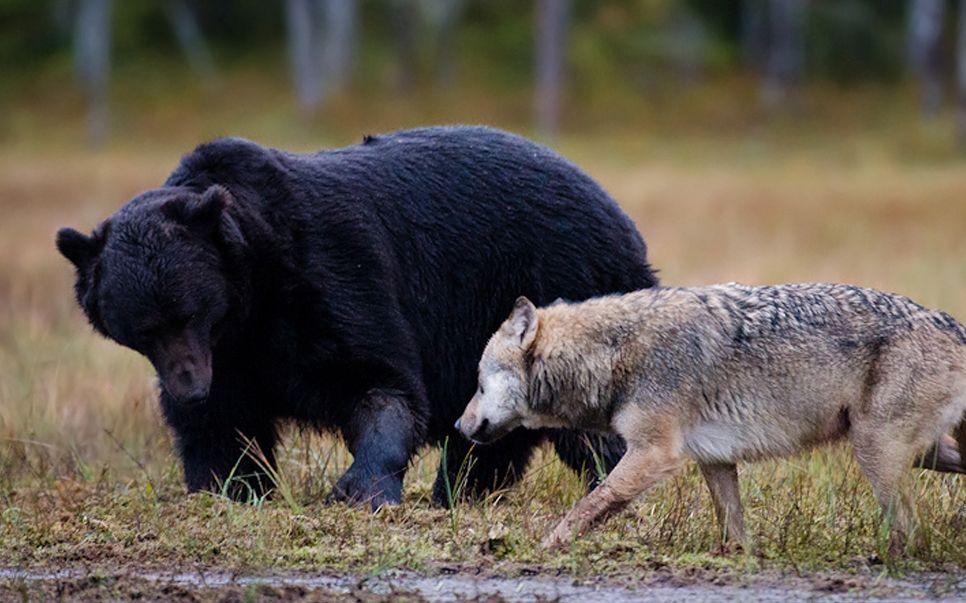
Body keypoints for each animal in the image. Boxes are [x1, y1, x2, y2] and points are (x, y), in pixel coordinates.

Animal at [456, 286, 966, 556]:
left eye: (478, 383)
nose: (459, 428)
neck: (614, 353)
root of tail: (949, 321)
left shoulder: (653, 454)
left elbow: (588, 506)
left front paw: (542, 548)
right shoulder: (715, 461)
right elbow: (733, 528)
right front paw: (739, 561)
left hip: (877, 453)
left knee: (909, 528)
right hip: (920, 454)